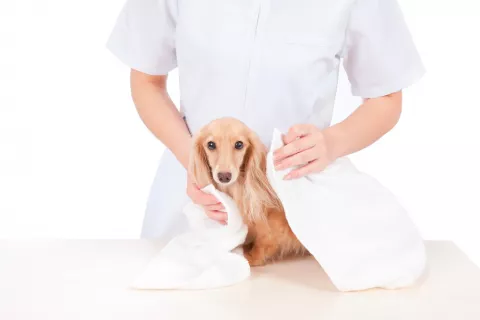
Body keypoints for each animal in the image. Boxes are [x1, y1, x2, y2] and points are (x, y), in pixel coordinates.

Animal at [188, 117, 308, 264]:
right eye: (211, 144)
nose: (224, 176)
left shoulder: (274, 223)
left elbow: (265, 241)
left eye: (239, 144)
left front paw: (251, 257)